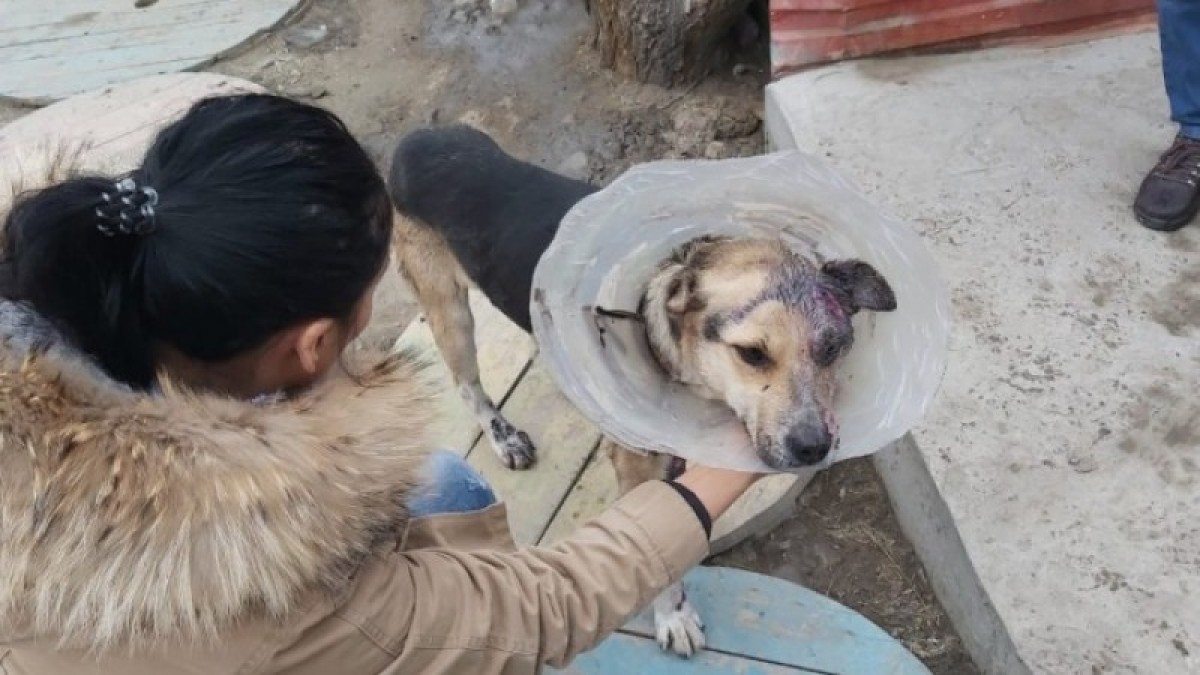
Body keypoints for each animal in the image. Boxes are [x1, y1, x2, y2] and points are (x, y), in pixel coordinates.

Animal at [388, 124, 897, 653]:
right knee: (467, 385)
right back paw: (503, 436)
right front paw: (673, 615)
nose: (813, 447)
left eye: (833, 348)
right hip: (450, 313)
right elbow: (656, 546)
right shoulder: (637, 462)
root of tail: (420, 136)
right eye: (752, 353)